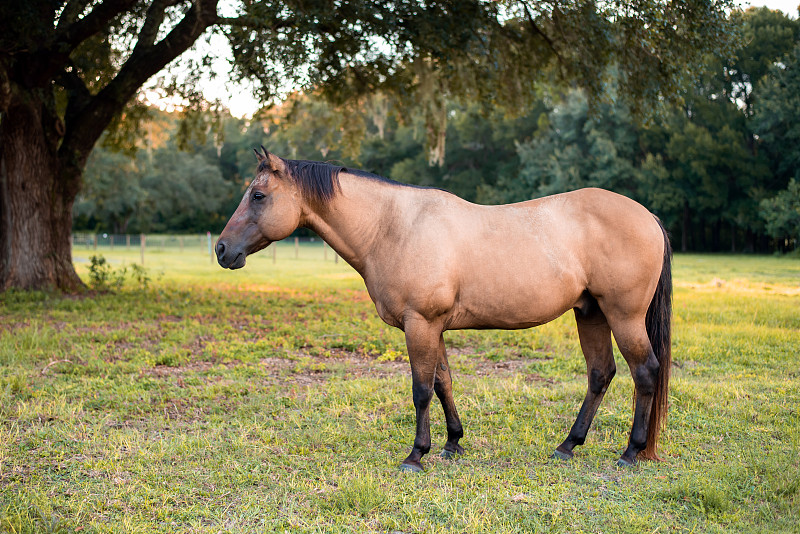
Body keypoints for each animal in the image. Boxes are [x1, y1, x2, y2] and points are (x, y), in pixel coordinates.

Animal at [216, 147, 672, 474]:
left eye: (258, 195)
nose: (222, 250)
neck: (393, 228)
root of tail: (647, 216)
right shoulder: (433, 328)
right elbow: (443, 383)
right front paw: (453, 443)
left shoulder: (420, 324)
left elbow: (421, 389)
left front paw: (416, 455)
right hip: (591, 313)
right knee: (600, 374)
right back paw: (567, 446)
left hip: (623, 316)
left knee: (645, 371)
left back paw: (630, 452)